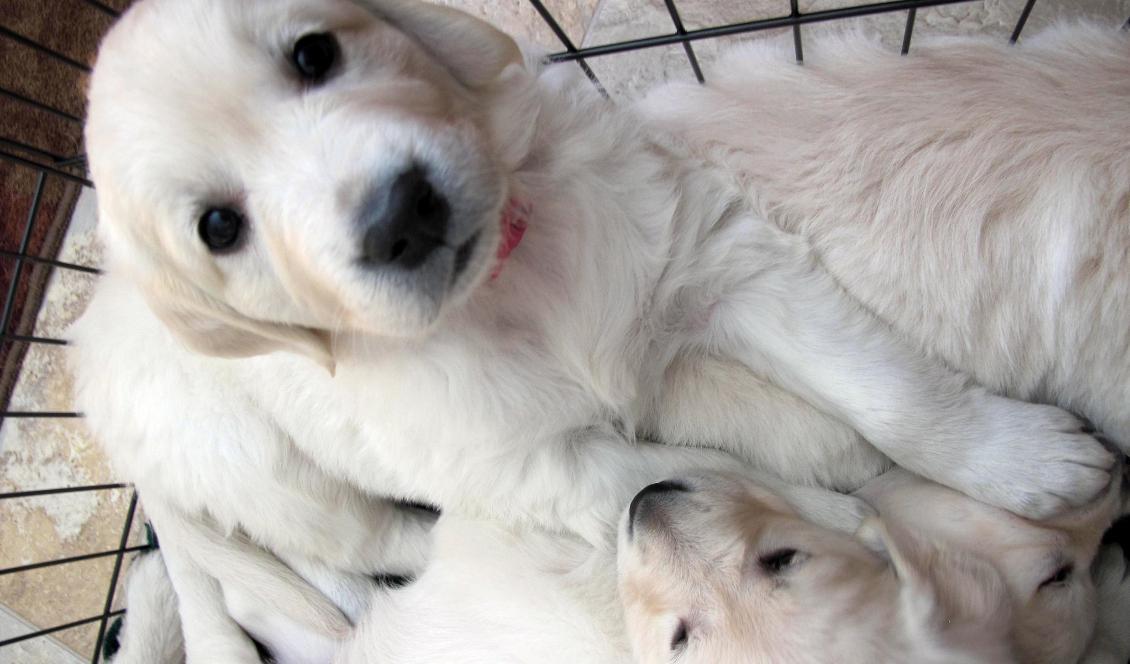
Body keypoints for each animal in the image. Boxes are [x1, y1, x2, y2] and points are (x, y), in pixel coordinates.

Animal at [85, 0, 1111, 560]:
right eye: (219, 227)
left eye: (314, 52)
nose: (399, 214)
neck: (510, 278)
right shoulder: (537, 465)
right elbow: (677, 473)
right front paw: (828, 513)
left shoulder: (717, 256)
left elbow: (890, 390)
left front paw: (1020, 459)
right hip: (270, 475)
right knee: (371, 540)